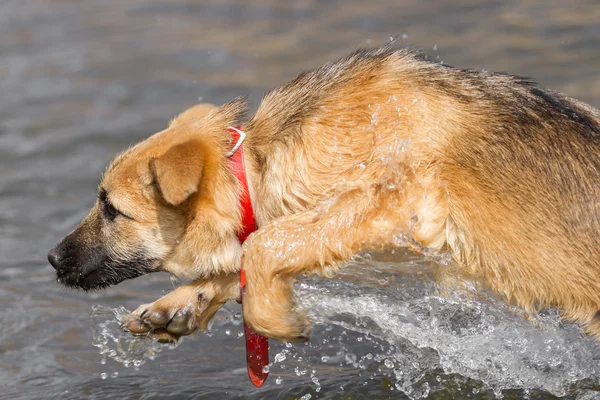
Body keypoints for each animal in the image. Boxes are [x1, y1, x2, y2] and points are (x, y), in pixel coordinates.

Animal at [48, 46, 600, 340]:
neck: (257, 166)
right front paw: (175, 307)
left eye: (111, 209)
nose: (50, 258)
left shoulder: (390, 200)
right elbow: (245, 258)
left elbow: (261, 245)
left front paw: (279, 322)